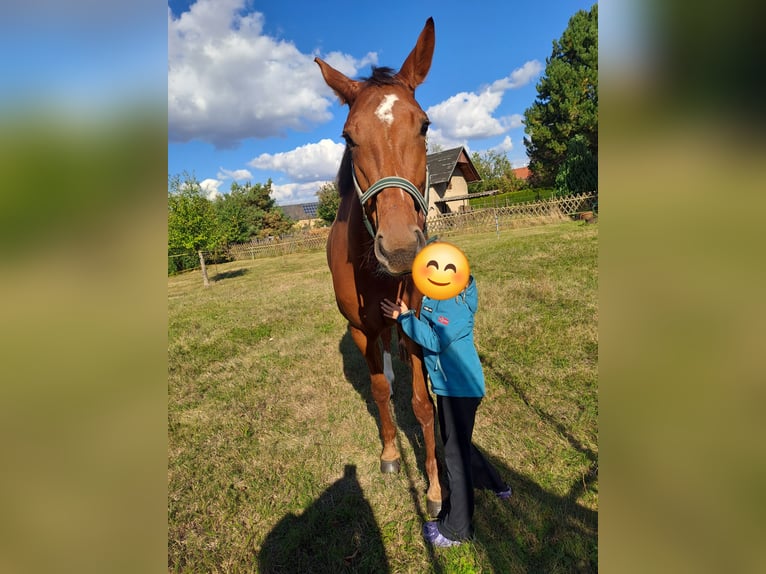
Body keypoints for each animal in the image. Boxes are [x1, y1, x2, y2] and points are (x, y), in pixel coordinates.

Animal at [314, 17, 442, 518]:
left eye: (424, 125)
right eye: (349, 136)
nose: (402, 248)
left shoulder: (417, 323)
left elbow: (423, 404)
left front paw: (434, 487)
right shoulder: (363, 329)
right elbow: (380, 390)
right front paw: (391, 453)